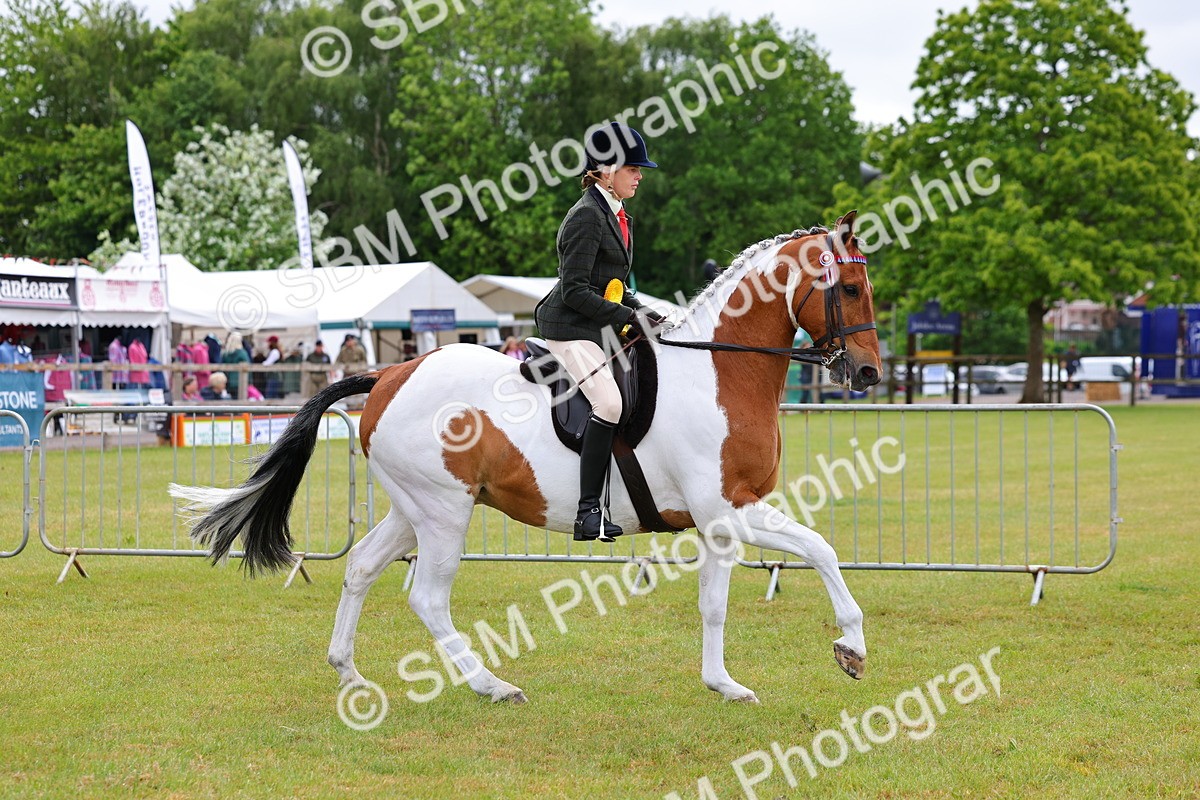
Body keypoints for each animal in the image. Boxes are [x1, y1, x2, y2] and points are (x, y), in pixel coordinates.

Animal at [171, 211, 882, 704]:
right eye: (848, 287)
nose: (869, 373)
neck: (719, 369)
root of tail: (391, 375)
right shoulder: (728, 510)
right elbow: (821, 549)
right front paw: (851, 645)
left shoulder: (717, 521)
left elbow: (717, 602)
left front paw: (723, 685)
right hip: (444, 515)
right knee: (427, 597)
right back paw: (491, 685)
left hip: (414, 509)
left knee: (363, 567)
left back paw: (348, 671)